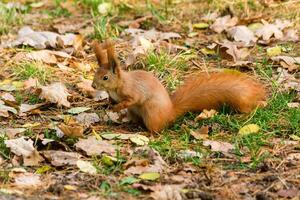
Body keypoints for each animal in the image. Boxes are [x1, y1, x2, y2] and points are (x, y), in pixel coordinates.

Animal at [92, 39, 268, 132]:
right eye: (95, 72)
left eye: (105, 77)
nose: (93, 86)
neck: (117, 85)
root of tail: (170, 113)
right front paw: (109, 105)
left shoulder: (133, 91)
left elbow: (132, 99)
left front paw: (116, 107)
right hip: (136, 113)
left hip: (151, 113)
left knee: (156, 129)